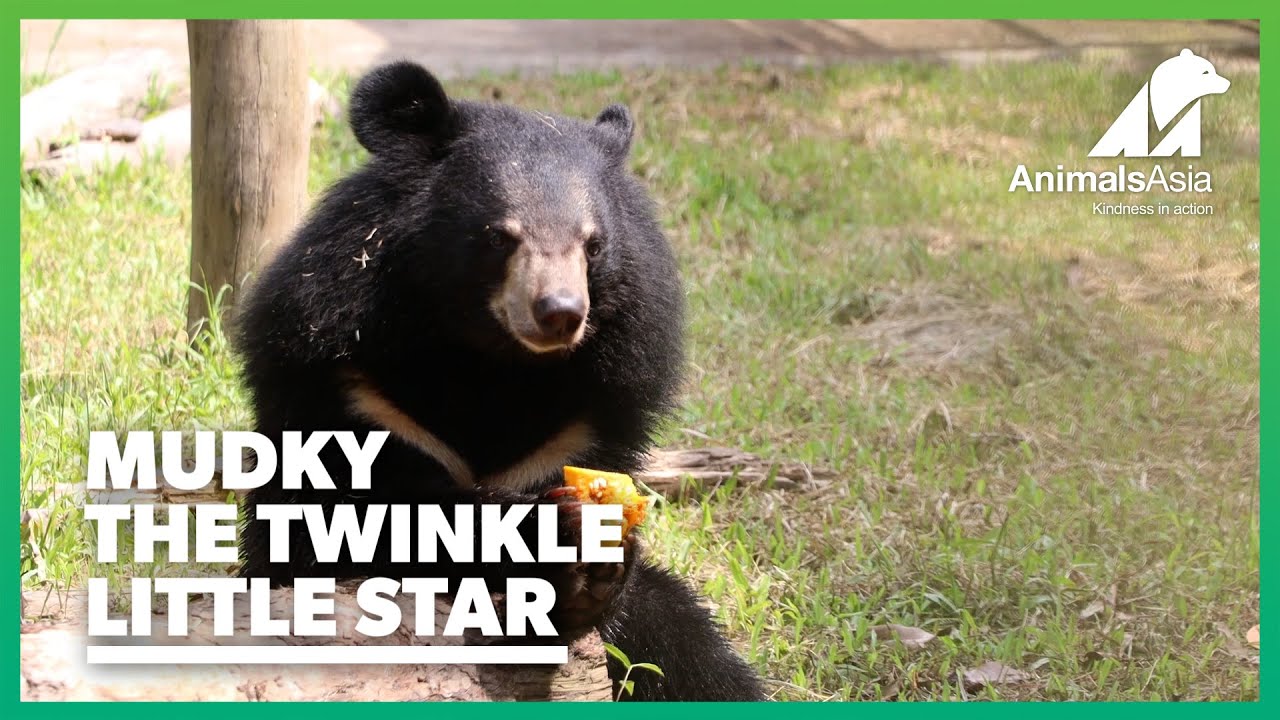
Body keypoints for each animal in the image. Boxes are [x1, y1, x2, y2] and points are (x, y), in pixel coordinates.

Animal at [233, 61, 766, 702]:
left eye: (593, 245)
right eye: (499, 236)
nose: (560, 312)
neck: (490, 363)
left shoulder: (590, 414)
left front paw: (588, 573)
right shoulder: (347, 384)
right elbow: (372, 519)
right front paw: (553, 532)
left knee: (688, 645)